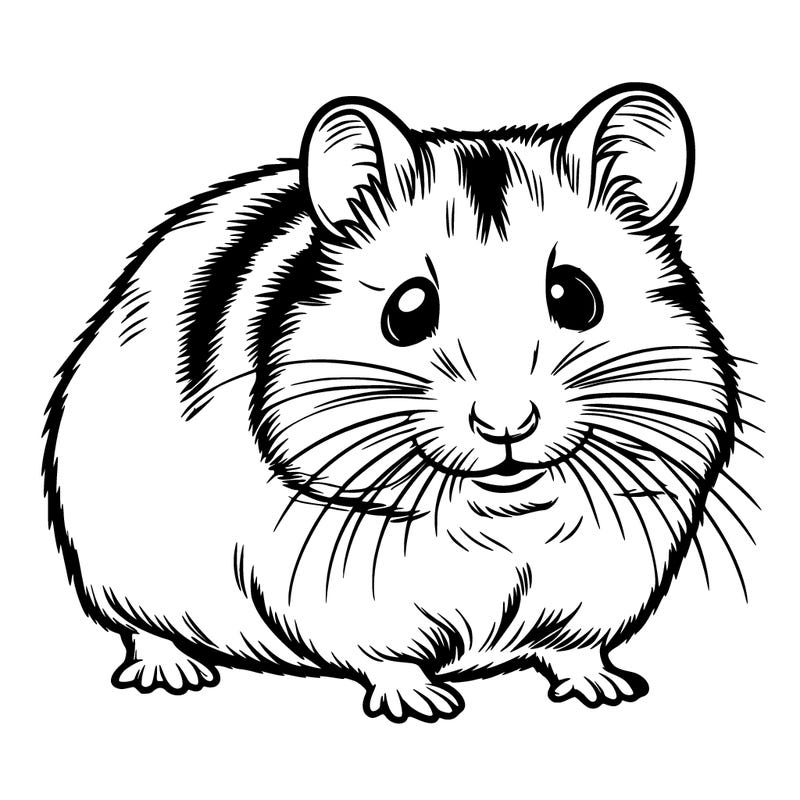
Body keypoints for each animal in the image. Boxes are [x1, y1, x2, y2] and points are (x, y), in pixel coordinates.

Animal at [43, 83, 740, 722]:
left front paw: (607, 692)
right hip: (117, 565)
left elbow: (576, 648)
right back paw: (174, 675)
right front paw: (424, 705)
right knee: (141, 629)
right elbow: (386, 656)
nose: (506, 427)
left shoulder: (609, 571)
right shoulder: (337, 586)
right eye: (407, 310)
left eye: (576, 296)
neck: (508, 510)